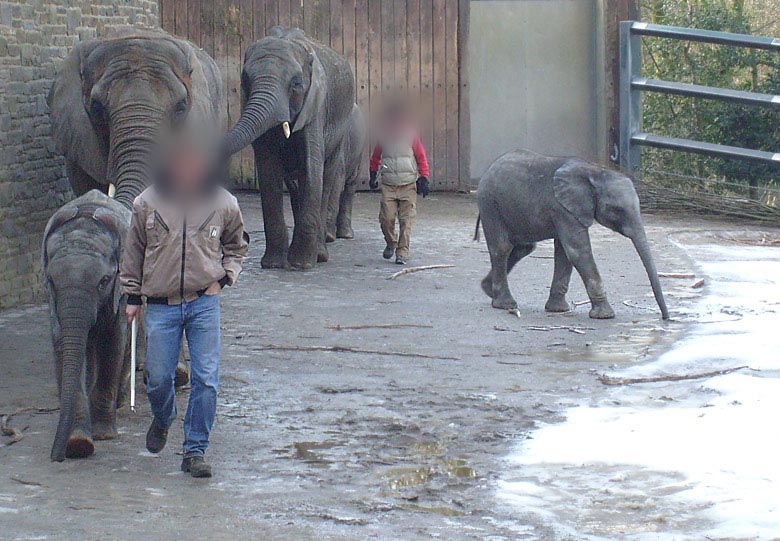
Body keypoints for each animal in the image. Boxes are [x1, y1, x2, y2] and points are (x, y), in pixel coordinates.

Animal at [42, 190, 131, 460]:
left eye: (104, 281)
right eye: (51, 280)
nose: (56, 457)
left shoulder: (120, 289)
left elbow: (113, 342)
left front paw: (102, 435)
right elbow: (63, 346)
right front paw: (79, 443)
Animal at [224, 26, 362, 268]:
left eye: (296, 84)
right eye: (245, 80)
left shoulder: (315, 107)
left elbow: (311, 168)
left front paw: (301, 265)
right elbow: (268, 171)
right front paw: (273, 264)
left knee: (327, 178)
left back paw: (320, 255)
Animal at [476, 149, 672, 320]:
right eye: (617, 209)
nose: (666, 317)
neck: (595, 171)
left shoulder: (566, 211)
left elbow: (565, 254)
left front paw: (558, 310)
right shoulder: (563, 209)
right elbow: (578, 252)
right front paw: (605, 316)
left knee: (523, 248)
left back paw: (487, 290)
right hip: (490, 204)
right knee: (502, 248)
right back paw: (505, 304)